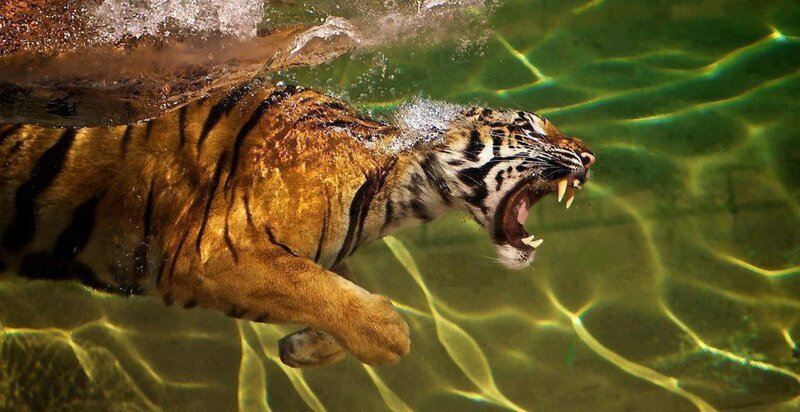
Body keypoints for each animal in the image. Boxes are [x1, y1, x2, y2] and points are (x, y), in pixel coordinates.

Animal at [0, 80, 595, 367]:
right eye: (530, 127)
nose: (589, 156)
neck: (398, 193)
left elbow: (330, 291)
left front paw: (302, 348)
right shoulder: (213, 251)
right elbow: (327, 293)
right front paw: (390, 336)